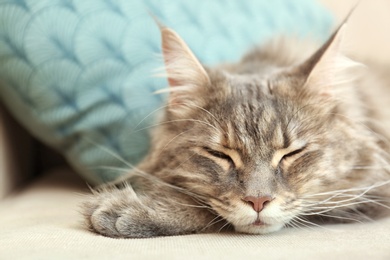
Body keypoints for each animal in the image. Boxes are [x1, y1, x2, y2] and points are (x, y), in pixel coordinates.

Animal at [82, 21, 390, 239]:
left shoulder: (369, 192)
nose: (258, 201)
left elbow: (207, 211)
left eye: (292, 153)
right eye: (219, 155)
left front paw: (137, 210)